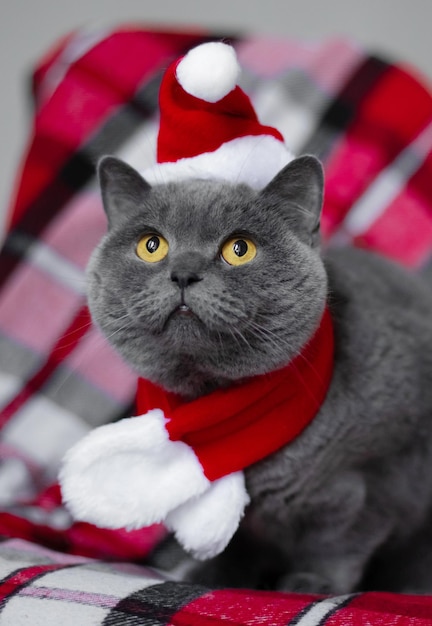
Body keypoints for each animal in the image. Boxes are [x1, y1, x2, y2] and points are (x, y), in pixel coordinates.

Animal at [88, 154, 432, 592]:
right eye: (152, 245)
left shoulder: (381, 479)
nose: (183, 272)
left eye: (240, 249)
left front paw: (313, 584)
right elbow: (235, 545)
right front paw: (204, 573)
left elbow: (340, 546)